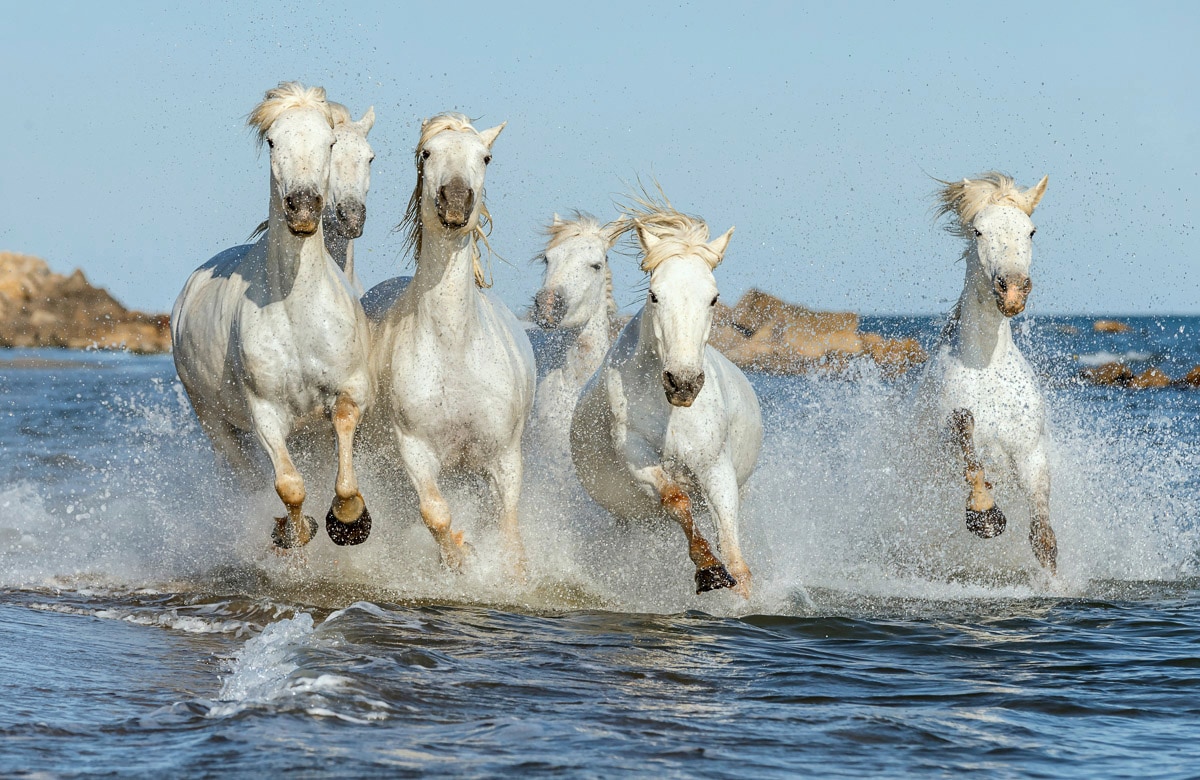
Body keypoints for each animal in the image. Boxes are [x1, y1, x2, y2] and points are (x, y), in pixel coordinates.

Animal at [171, 83, 372, 547]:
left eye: (328, 142)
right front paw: (293, 532)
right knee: (247, 478)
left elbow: (344, 454)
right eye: (272, 141)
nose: (303, 207)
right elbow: (289, 486)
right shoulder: (264, 412)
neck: (298, 310)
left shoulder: (350, 390)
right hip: (215, 424)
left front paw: (350, 520)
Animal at [364, 111, 535, 571]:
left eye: (486, 157)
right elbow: (435, 512)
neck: (455, 348)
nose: (456, 200)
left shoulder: (503, 458)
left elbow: (509, 530)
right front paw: (461, 558)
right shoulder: (414, 450)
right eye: (427, 152)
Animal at [568, 194, 758, 595]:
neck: (671, 412)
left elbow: (734, 551)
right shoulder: (637, 455)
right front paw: (708, 569)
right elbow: (676, 498)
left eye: (713, 298)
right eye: (655, 295)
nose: (683, 383)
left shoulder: (715, 465)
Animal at [912, 170, 1056, 571]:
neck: (987, 365)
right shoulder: (949, 441)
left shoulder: (1030, 452)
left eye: (1031, 231)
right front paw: (985, 515)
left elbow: (1043, 536)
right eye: (978, 231)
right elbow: (968, 445)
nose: (1013, 292)